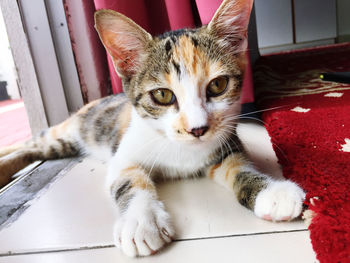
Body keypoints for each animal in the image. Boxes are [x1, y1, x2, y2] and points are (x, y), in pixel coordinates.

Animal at [0, 0, 304, 258]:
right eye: (162, 95)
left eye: (218, 85)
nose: (197, 129)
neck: (180, 150)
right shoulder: (123, 154)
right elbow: (129, 179)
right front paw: (139, 222)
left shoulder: (225, 141)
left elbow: (239, 166)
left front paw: (272, 192)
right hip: (72, 130)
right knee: (33, 143)